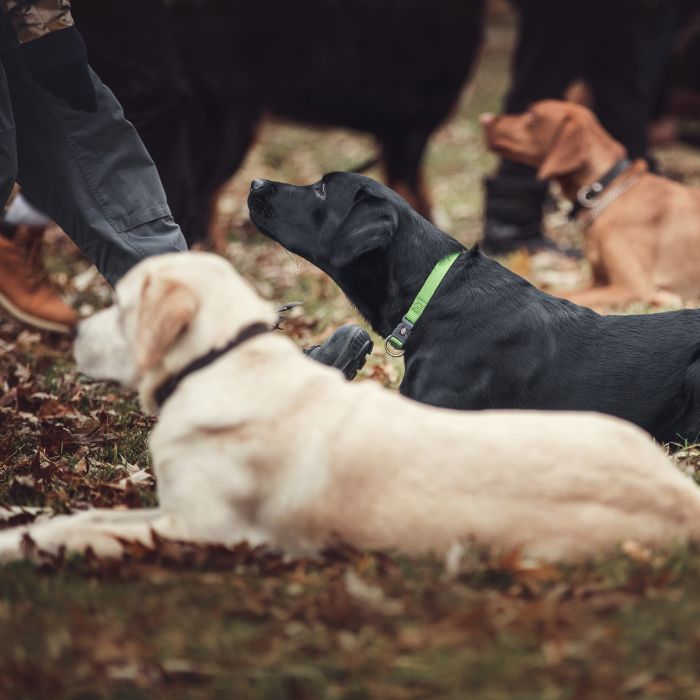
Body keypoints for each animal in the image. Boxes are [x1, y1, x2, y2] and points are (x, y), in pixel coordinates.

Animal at [484, 101, 700, 312]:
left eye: (531, 114)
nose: (485, 119)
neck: (607, 190)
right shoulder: (598, 281)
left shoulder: (633, 287)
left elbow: (566, 296)